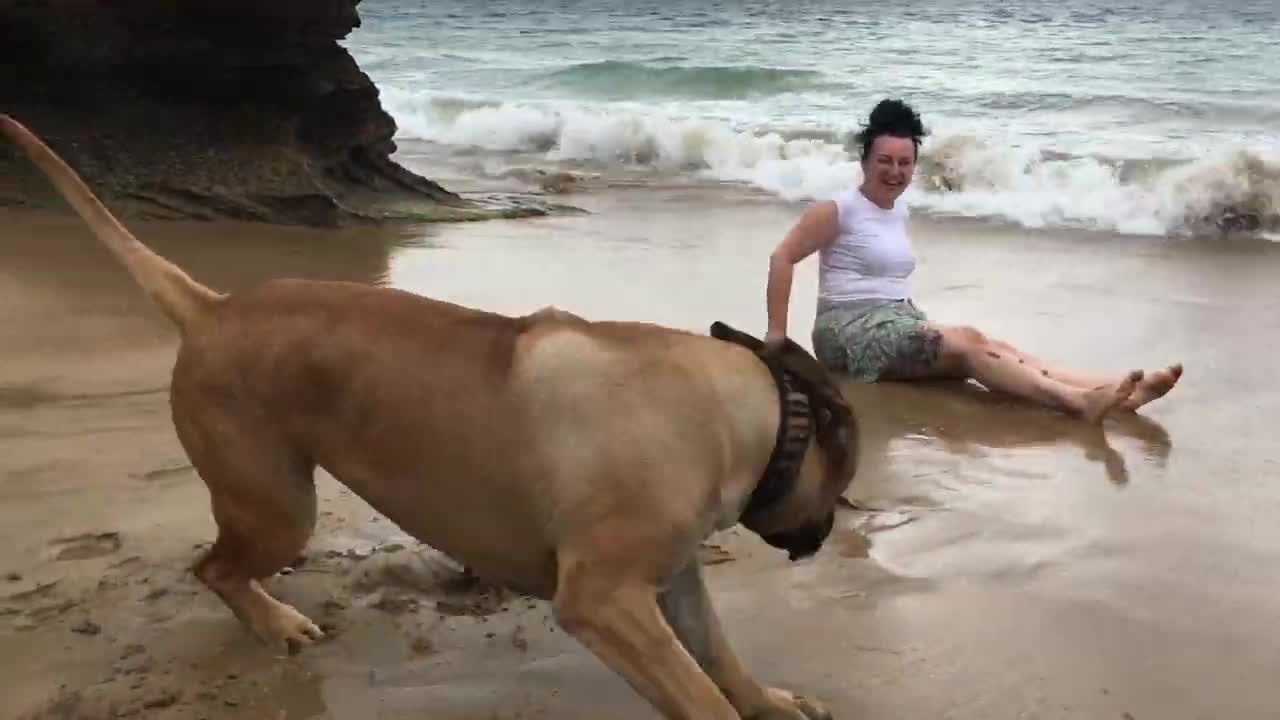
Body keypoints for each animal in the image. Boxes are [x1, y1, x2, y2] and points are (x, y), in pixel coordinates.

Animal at [5, 116, 860, 717]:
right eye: (843, 485)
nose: (824, 534)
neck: (744, 417)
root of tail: (211, 307)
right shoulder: (606, 600)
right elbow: (697, 690)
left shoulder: (674, 578)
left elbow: (718, 656)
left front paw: (768, 700)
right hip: (277, 502)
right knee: (215, 567)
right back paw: (275, 622)